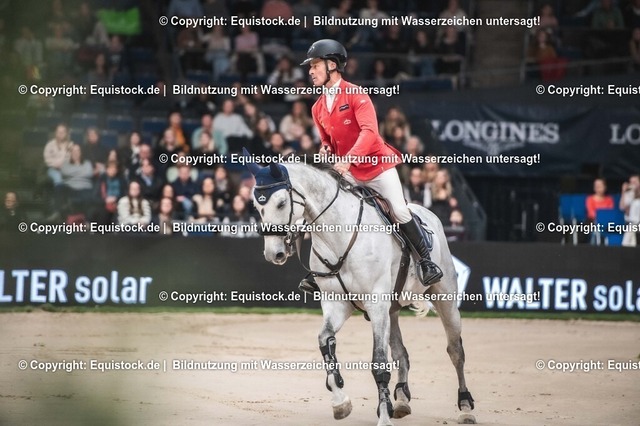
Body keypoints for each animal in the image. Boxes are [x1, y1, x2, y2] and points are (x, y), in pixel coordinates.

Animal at [246, 157, 476, 426]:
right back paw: (401, 400)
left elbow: (379, 362)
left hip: (444, 299)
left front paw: (383, 416)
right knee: (401, 353)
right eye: (256, 206)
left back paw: (465, 407)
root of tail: (428, 213)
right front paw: (340, 402)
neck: (338, 236)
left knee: (455, 351)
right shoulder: (336, 303)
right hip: (391, 310)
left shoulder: (376, 303)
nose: (274, 254)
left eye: (282, 203)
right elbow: (325, 341)